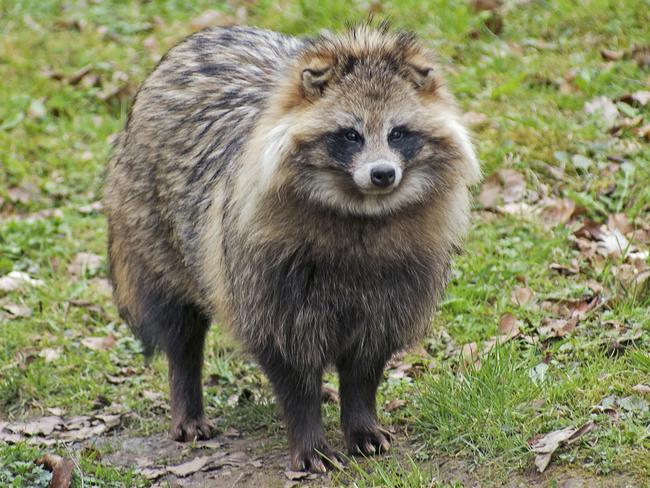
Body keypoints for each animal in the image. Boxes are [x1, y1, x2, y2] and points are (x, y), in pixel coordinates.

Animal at [105, 23, 476, 472]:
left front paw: (361, 420)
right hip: (151, 228)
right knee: (179, 327)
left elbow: (366, 361)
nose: (383, 174)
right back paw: (186, 393)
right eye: (350, 135)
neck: (361, 211)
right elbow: (290, 361)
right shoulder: (266, 274)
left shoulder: (400, 279)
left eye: (398, 133)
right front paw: (309, 436)